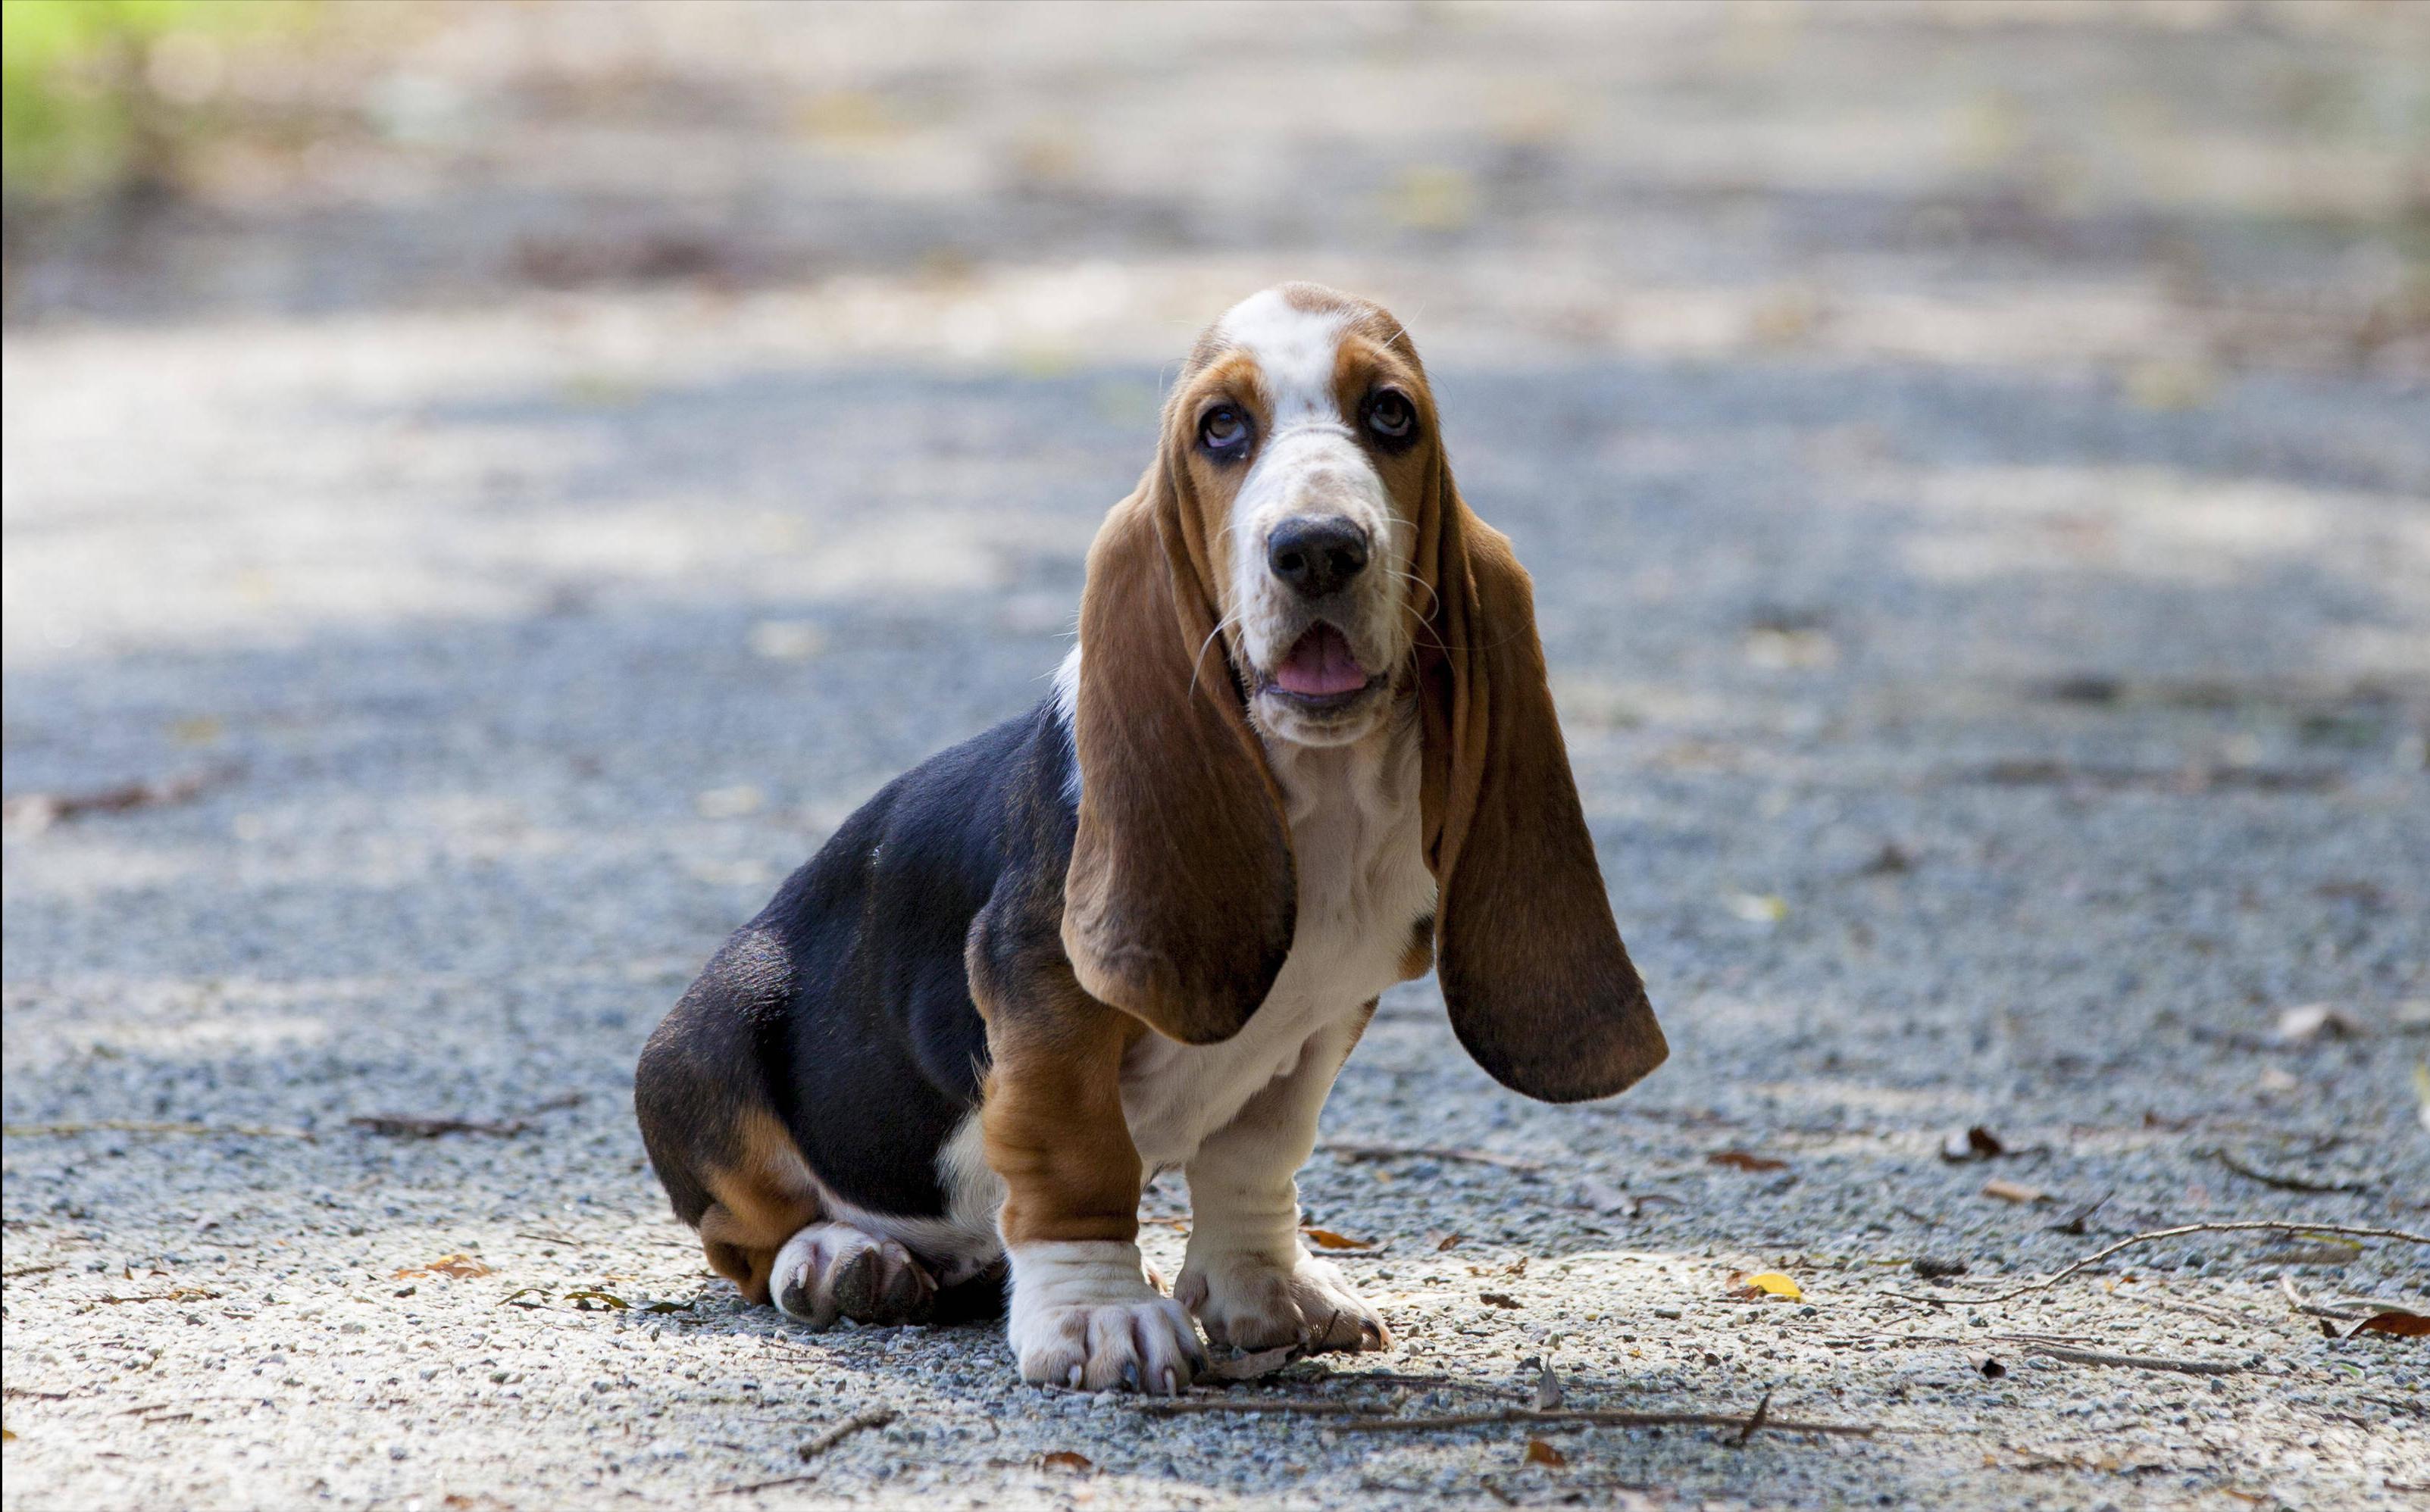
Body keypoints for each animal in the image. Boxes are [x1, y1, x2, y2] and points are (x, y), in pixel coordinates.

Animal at [631, 284, 1672, 1400]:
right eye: (1221, 427)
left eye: (1392, 415)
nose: (1317, 547)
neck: (1320, 797)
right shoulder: (1045, 1000)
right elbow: (1076, 1157)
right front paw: (1100, 1318)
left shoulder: (1324, 1019)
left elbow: (1259, 1151)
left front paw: (1267, 1290)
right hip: (706, 1040)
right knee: (747, 1234)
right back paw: (841, 1259)